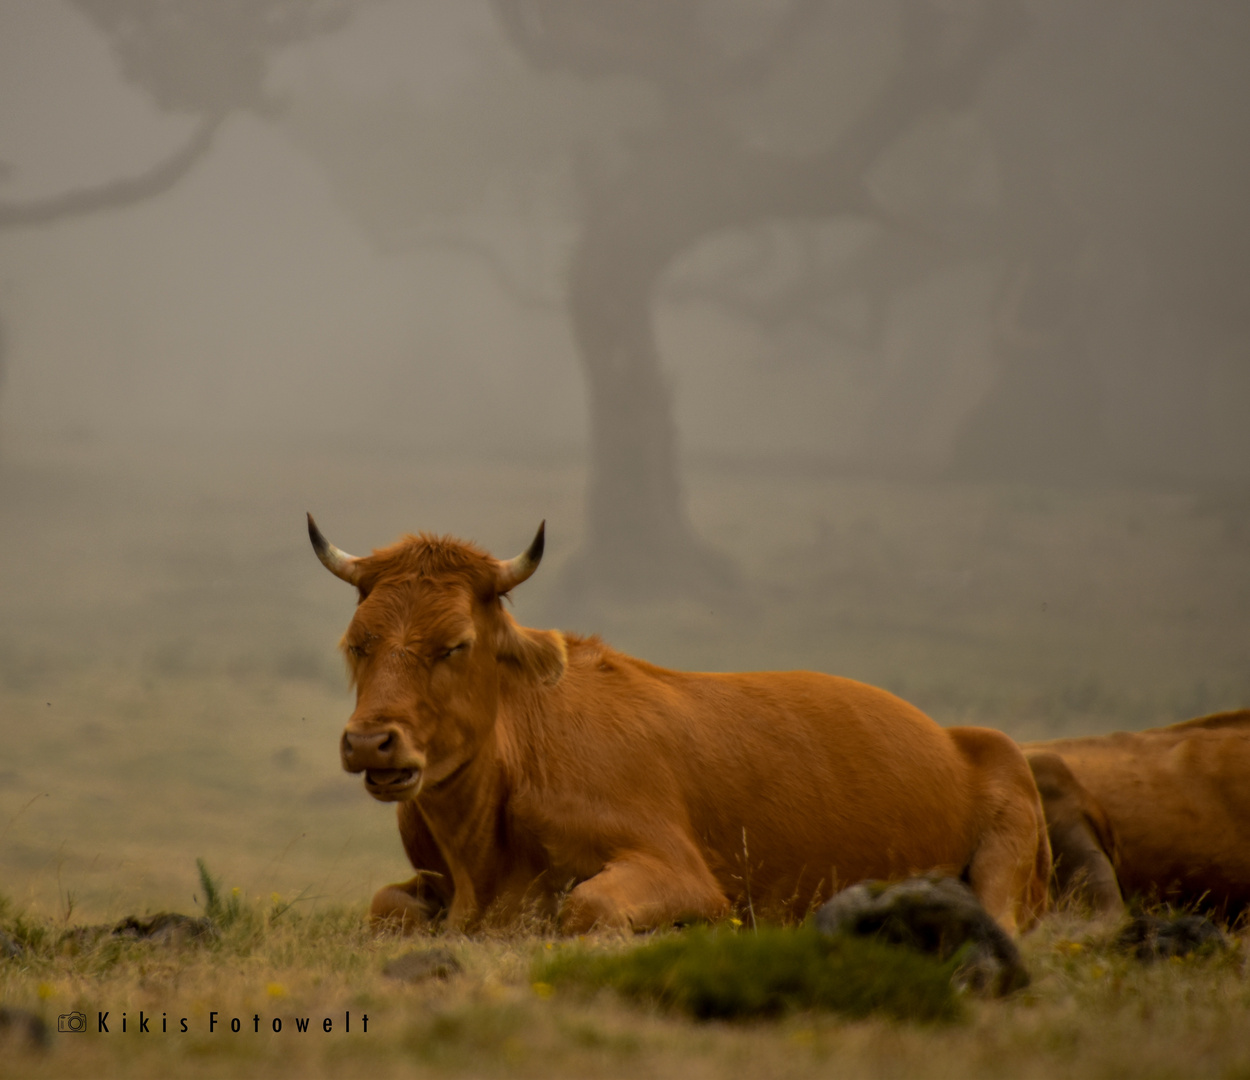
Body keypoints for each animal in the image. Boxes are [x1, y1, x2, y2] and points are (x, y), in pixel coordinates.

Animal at [307, 517, 1050, 935]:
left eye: (456, 644)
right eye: (357, 642)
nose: (371, 741)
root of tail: (958, 739)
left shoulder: (684, 873)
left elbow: (585, 908)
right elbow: (385, 905)